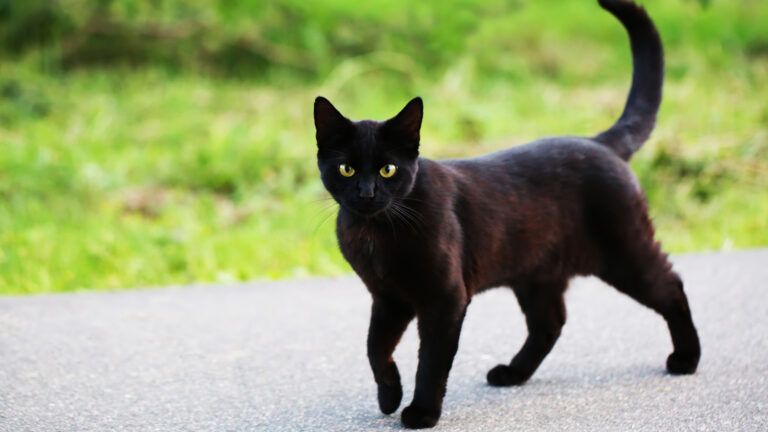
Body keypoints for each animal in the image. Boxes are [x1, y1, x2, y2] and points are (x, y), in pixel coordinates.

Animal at [312, 0, 704, 428]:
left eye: (387, 170)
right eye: (347, 169)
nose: (366, 193)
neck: (377, 232)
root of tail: (599, 142)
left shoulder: (444, 298)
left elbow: (430, 362)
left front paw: (421, 412)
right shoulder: (388, 298)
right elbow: (374, 348)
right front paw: (389, 396)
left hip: (625, 252)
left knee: (671, 285)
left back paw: (686, 358)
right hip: (535, 273)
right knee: (550, 322)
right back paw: (512, 373)